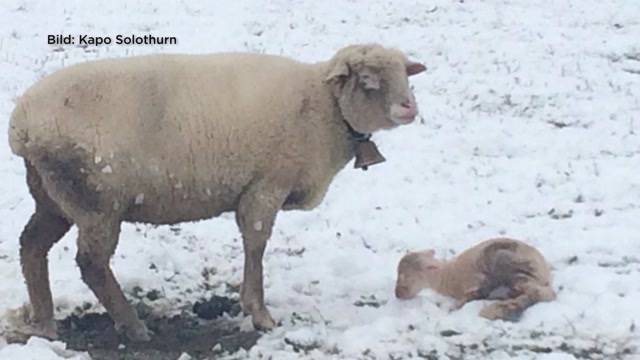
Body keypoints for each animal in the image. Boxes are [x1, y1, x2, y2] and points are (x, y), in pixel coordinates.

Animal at [8, 43, 424, 342]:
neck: (323, 108)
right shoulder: (265, 186)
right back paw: (132, 326)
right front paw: (259, 314)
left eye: (405, 74)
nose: (409, 107)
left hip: (54, 198)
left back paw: (44, 321)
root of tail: (22, 126)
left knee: (32, 246)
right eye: (368, 79)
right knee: (91, 263)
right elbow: (256, 244)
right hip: (96, 202)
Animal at [396, 238, 556, 320]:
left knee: (539, 293)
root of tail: (545, 270)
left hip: (507, 261)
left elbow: (480, 291)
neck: (444, 275)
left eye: (407, 276)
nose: (398, 294)